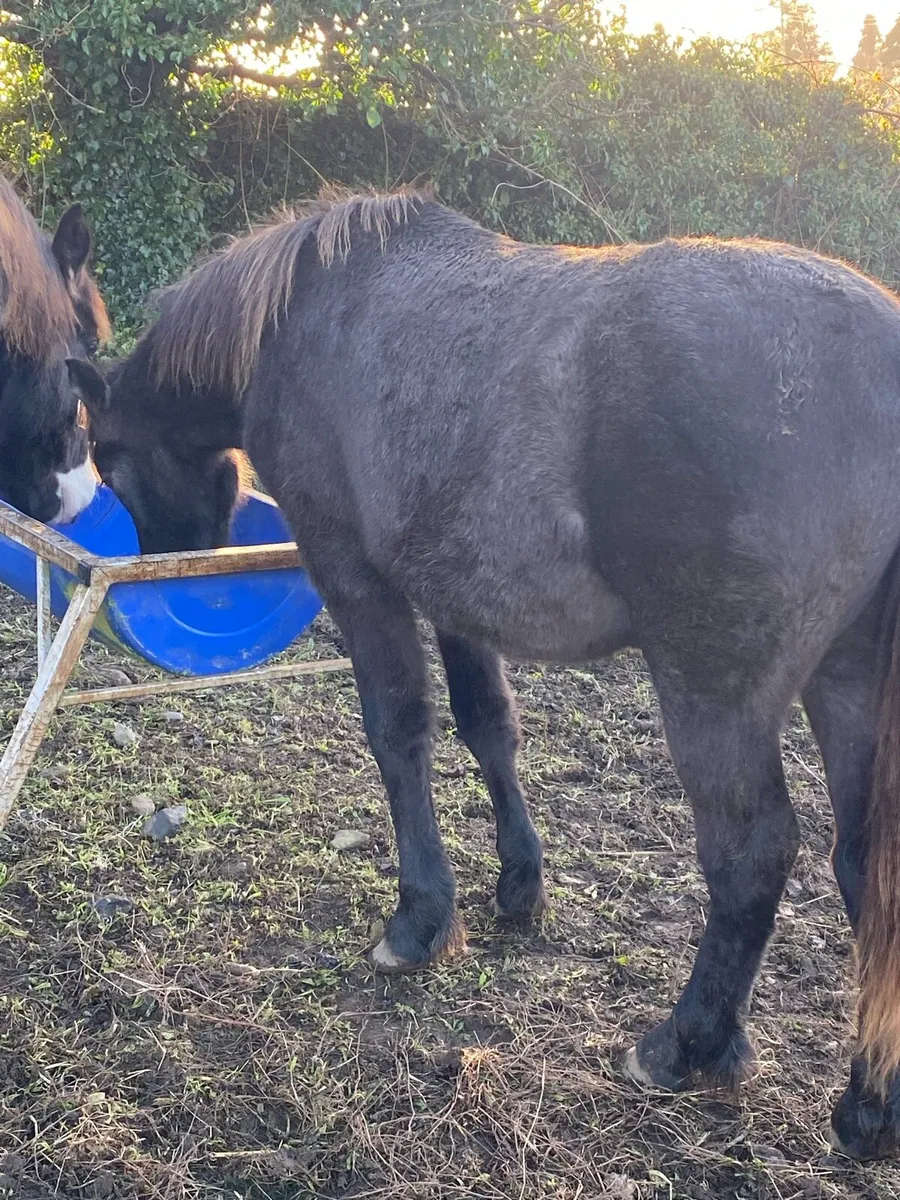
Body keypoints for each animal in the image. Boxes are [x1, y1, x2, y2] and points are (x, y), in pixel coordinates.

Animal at [79, 186, 900, 1159]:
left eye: (109, 461)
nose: (168, 564)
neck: (311, 312)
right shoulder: (456, 592)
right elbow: (489, 729)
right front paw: (518, 886)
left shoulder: (358, 575)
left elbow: (399, 732)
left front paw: (421, 921)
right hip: (849, 687)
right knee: (865, 866)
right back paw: (868, 1107)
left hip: (719, 694)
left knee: (751, 856)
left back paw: (686, 1045)